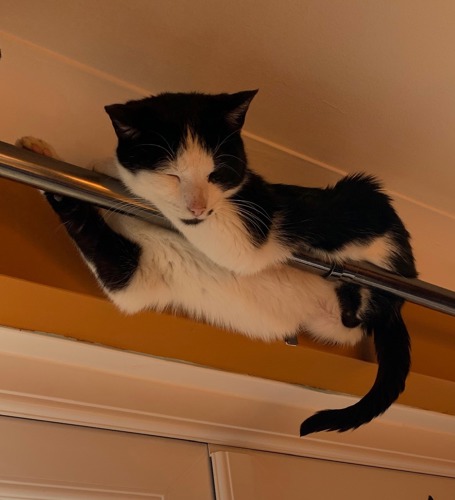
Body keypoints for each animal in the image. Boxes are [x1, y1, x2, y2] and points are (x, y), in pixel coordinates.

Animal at [25, 91, 416, 438]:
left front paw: (104, 167)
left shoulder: (246, 233)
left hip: (360, 204)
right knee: (351, 323)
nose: (197, 207)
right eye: (172, 174)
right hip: (330, 326)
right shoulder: (132, 276)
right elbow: (86, 227)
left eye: (216, 174)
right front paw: (41, 155)